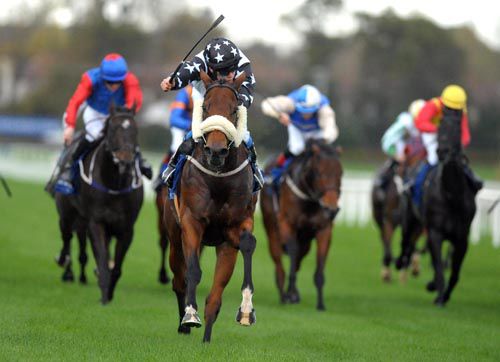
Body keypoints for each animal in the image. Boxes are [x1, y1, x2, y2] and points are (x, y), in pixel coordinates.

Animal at [55, 106, 145, 304]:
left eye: (136, 130)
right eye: (113, 129)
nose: (125, 160)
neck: (114, 184)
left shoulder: (126, 228)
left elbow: (116, 266)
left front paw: (110, 293)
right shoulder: (96, 222)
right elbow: (102, 260)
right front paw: (104, 295)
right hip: (67, 213)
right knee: (66, 236)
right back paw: (65, 266)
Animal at [164, 72, 258, 344]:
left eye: (234, 110)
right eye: (205, 107)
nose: (216, 151)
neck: (218, 180)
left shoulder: (235, 227)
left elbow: (248, 244)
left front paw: (246, 311)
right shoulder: (191, 223)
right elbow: (193, 272)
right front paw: (190, 316)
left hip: (222, 246)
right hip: (174, 236)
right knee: (179, 279)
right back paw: (184, 324)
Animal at [260, 140, 342, 310]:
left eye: (340, 174)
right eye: (319, 173)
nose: (331, 209)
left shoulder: (324, 229)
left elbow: (319, 264)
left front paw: (320, 304)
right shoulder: (287, 223)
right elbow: (292, 252)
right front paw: (289, 294)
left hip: (305, 240)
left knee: (299, 258)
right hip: (271, 228)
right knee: (279, 261)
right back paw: (283, 293)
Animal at [398, 108, 476, 306]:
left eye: (458, 128)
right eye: (440, 127)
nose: (443, 152)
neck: (452, 195)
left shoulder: (462, 237)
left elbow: (454, 271)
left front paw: (445, 294)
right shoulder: (435, 231)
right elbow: (439, 266)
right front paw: (439, 296)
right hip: (410, 218)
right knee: (406, 241)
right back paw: (401, 262)